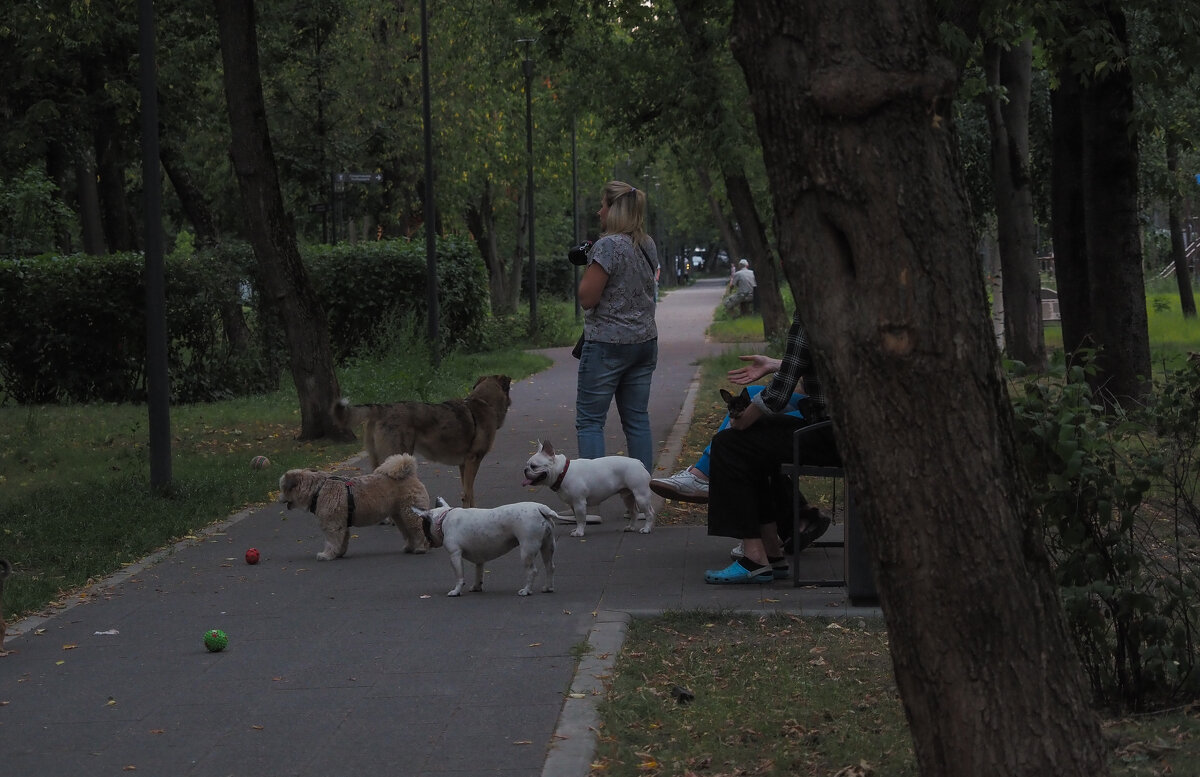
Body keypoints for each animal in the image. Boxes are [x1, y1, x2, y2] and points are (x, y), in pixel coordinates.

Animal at [277, 453, 432, 561]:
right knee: (408, 532)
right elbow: (342, 541)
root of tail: (410, 474)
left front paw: (327, 555)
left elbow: (331, 542)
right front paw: (338, 553)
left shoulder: (332, 525)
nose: (278, 499)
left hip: (410, 514)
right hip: (400, 515)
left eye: (282, 488)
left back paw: (420, 548)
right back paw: (410, 547)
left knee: (418, 530)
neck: (318, 489)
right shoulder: (341, 524)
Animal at [333, 374, 511, 506]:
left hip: (377, 458)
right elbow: (468, 493)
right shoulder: (473, 460)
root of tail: (382, 407)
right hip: (397, 455)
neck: (485, 402)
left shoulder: (464, 464)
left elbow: (469, 492)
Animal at [410, 494, 559, 597]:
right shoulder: (479, 559)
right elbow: (479, 573)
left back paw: (526, 591)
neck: (444, 518)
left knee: (532, 570)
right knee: (549, 566)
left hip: (527, 550)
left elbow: (459, 576)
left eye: (423, 527)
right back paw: (548, 588)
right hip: (547, 546)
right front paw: (476, 587)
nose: (428, 542)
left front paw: (456, 591)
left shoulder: (454, 555)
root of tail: (540, 508)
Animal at [520, 441, 657, 537]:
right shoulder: (573, 504)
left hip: (641, 496)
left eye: (534, 466)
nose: (525, 470)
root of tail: (638, 463)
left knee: (649, 513)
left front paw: (579, 532)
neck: (562, 472)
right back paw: (631, 527)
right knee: (634, 512)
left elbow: (581, 519)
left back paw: (646, 529)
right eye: (527, 465)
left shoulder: (579, 503)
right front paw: (577, 529)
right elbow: (576, 518)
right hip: (628, 497)